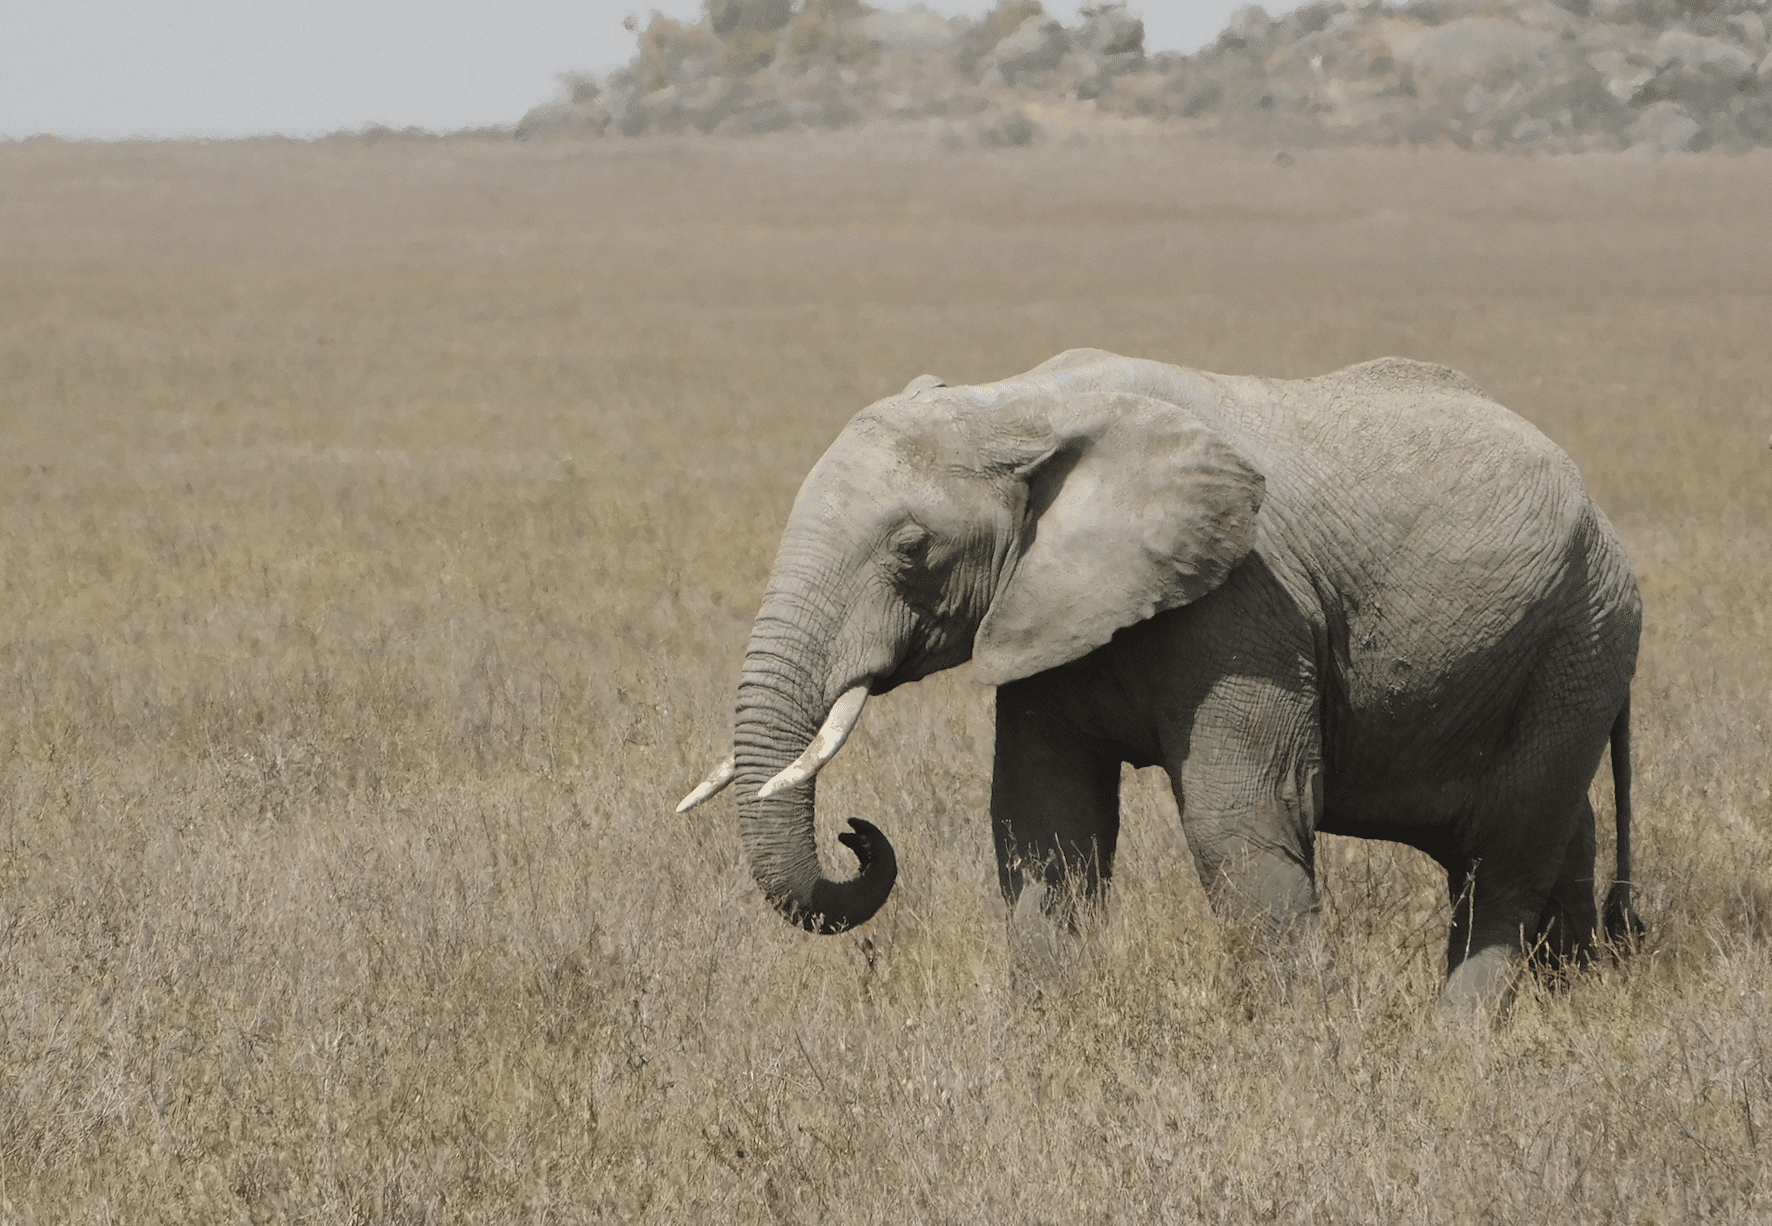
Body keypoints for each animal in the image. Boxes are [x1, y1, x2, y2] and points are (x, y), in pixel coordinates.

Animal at [680, 345, 1644, 1006]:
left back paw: (1458, 1040)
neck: (1022, 404)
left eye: (912, 548)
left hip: (1583, 637)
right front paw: (1049, 1036)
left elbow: (1237, 822)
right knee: (1559, 833)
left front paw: (1304, 1051)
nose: (855, 833)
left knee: (1506, 853)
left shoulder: (1247, 605)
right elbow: (1045, 826)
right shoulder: (1044, 609)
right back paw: (1568, 1004)